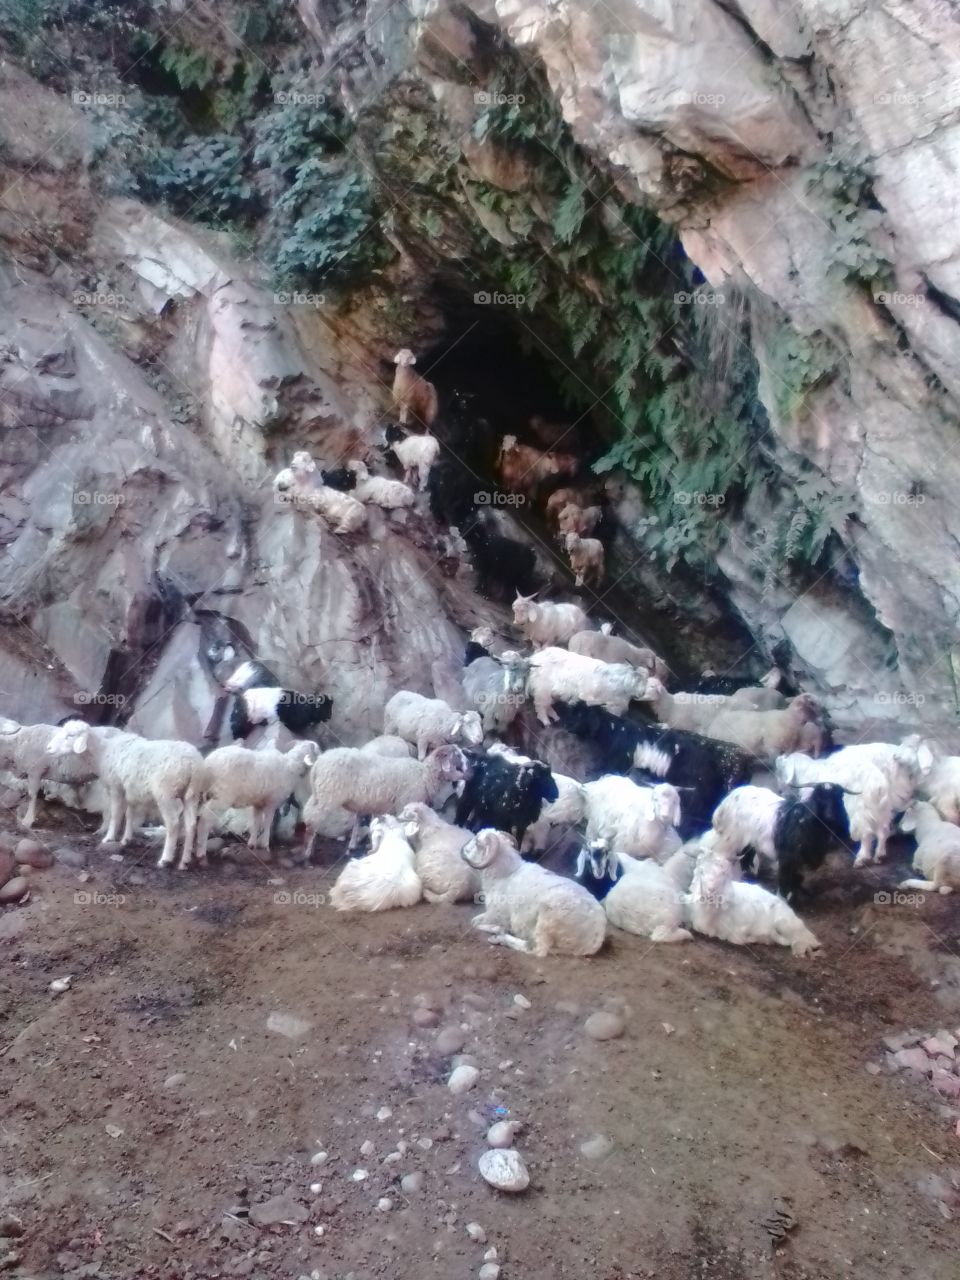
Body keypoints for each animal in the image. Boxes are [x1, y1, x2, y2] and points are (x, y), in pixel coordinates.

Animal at [46, 721, 201, 870]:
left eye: (70, 736)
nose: (48, 748)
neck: (102, 753)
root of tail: (192, 763)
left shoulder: (116, 787)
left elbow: (114, 814)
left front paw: (109, 837)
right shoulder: (130, 791)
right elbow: (129, 815)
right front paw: (125, 839)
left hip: (166, 793)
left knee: (173, 824)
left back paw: (165, 859)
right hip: (191, 795)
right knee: (191, 825)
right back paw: (184, 862)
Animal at [190, 740, 319, 866]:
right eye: (317, 752)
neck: (290, 767)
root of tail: (208, 764)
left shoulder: (259, 803)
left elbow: (256, 822)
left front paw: (252, 844)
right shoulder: (271, 802)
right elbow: (267, 823)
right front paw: (265, 845)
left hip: (204, 795)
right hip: (221, 797)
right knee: (204, 822)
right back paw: (201, 853)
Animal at [304, 744, 468, 847]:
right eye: (457, 755)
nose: (470, 772)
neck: (425, 775)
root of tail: (318, 763)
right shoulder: (404, 804)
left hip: (319, 793)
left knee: (308, 813)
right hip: (328, 795)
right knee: (312, 819)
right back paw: (306, 854)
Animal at [462, 828, 606, 956]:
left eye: (477, 842)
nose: (462, 850)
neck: (506, 874)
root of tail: (595, 938)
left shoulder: (496, 914)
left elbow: (474, 923)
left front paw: (499, 929)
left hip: (547, 921)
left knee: (537, 949)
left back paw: (501, 938)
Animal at [684, 839, 821, 956]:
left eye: (723, 873)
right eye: (702, 871)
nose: (710, 891)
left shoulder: (739, 928)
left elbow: (735, 938)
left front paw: (752, 938)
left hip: (784, 924)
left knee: (803, 939)